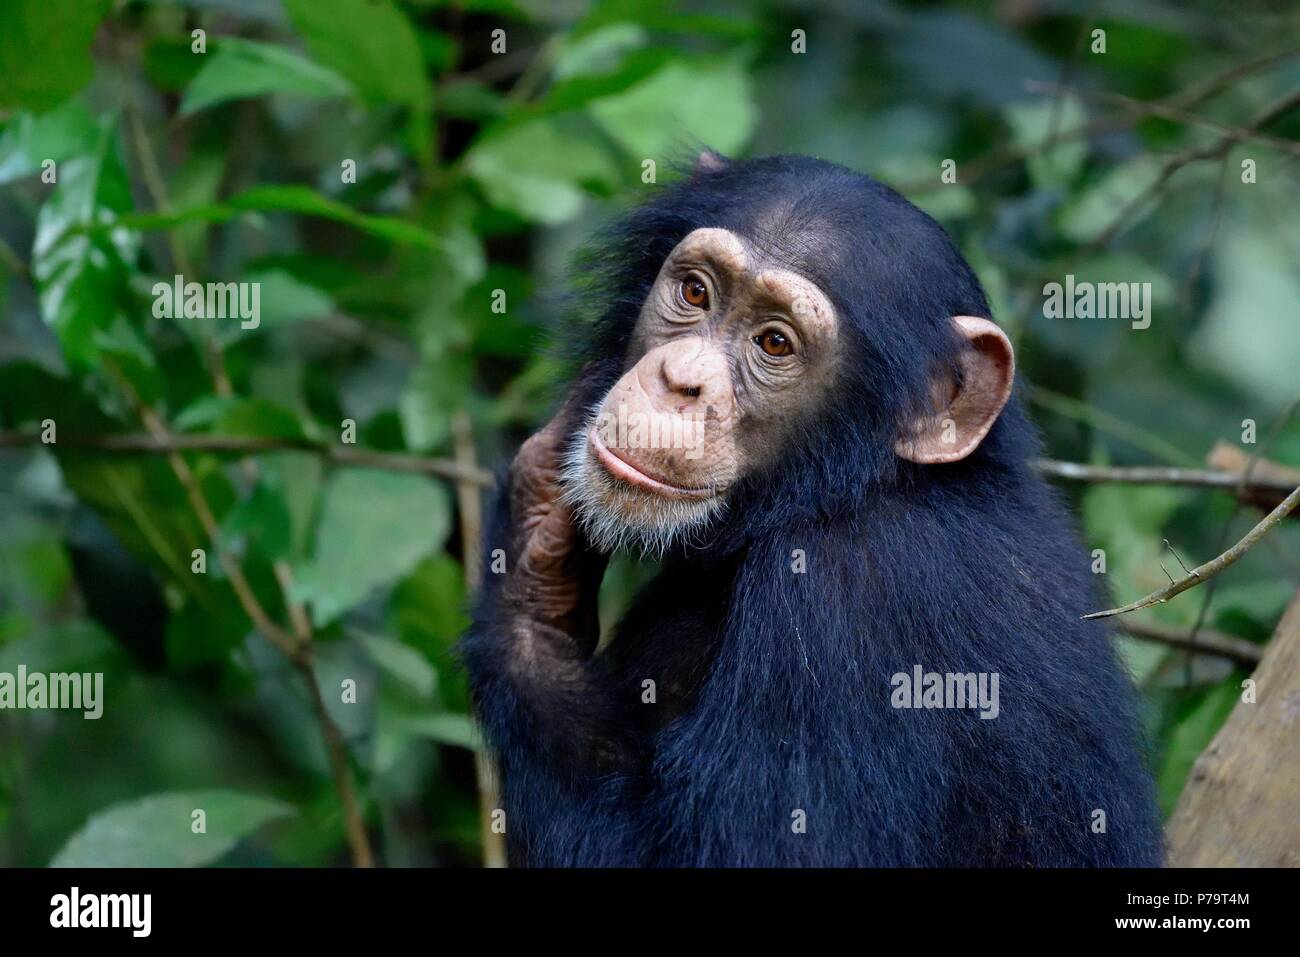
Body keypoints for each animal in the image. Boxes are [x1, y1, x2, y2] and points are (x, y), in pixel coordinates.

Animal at [462, 149, 1164, 868]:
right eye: (695, 293)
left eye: (775, 343)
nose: (679, 380)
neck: (849, 488)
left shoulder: (848, 606)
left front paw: (532, 567)